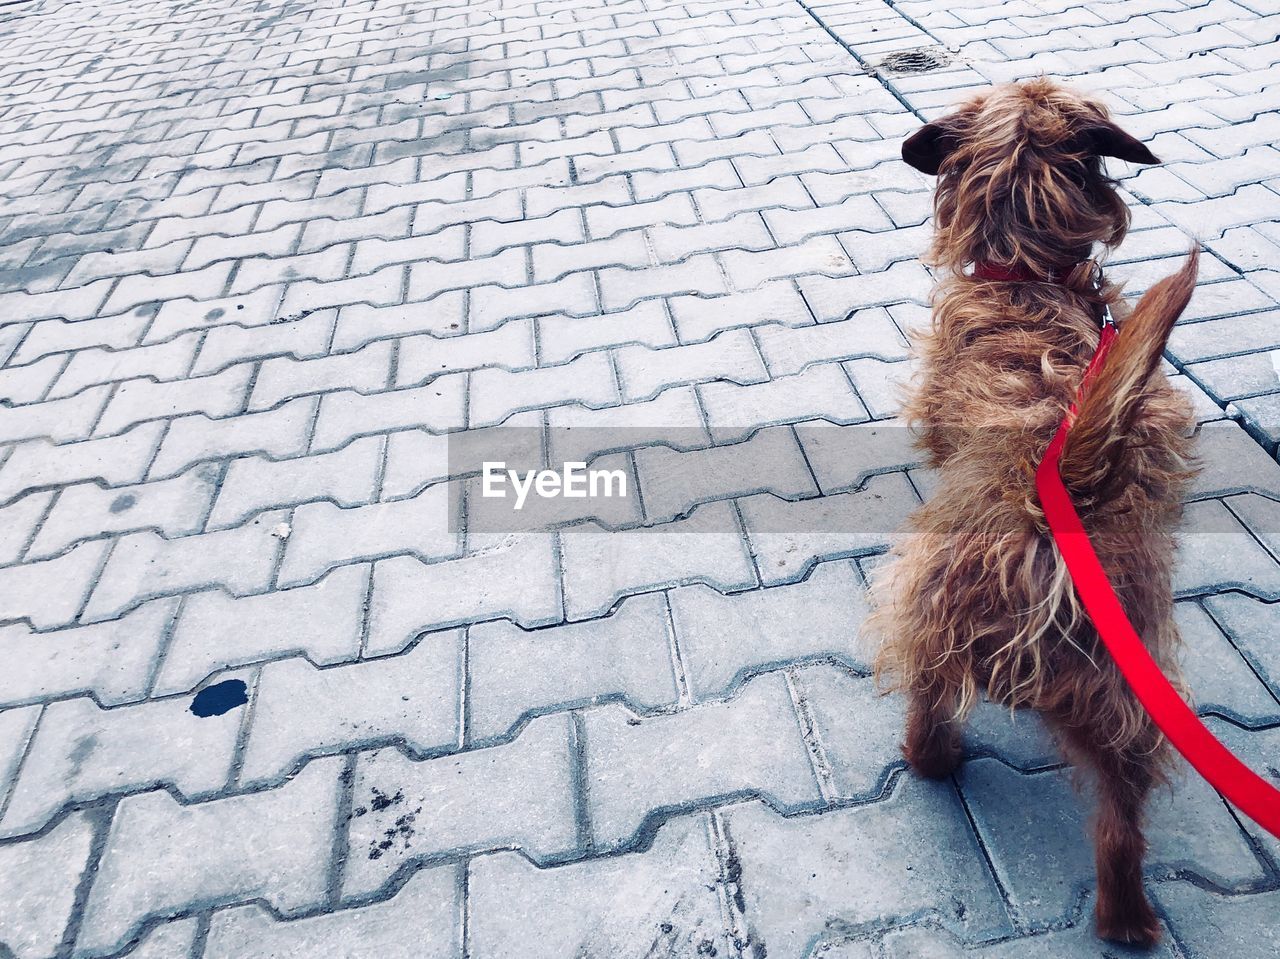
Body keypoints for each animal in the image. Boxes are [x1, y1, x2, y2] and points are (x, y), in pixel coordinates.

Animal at [870, 78, 1198, 947]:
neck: (1027, 273)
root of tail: (1061, 495)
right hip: (1126, 701)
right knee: (1120, 825)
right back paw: (1127, 920)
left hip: (927, 604)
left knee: (931, 706)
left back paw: (926, 756)